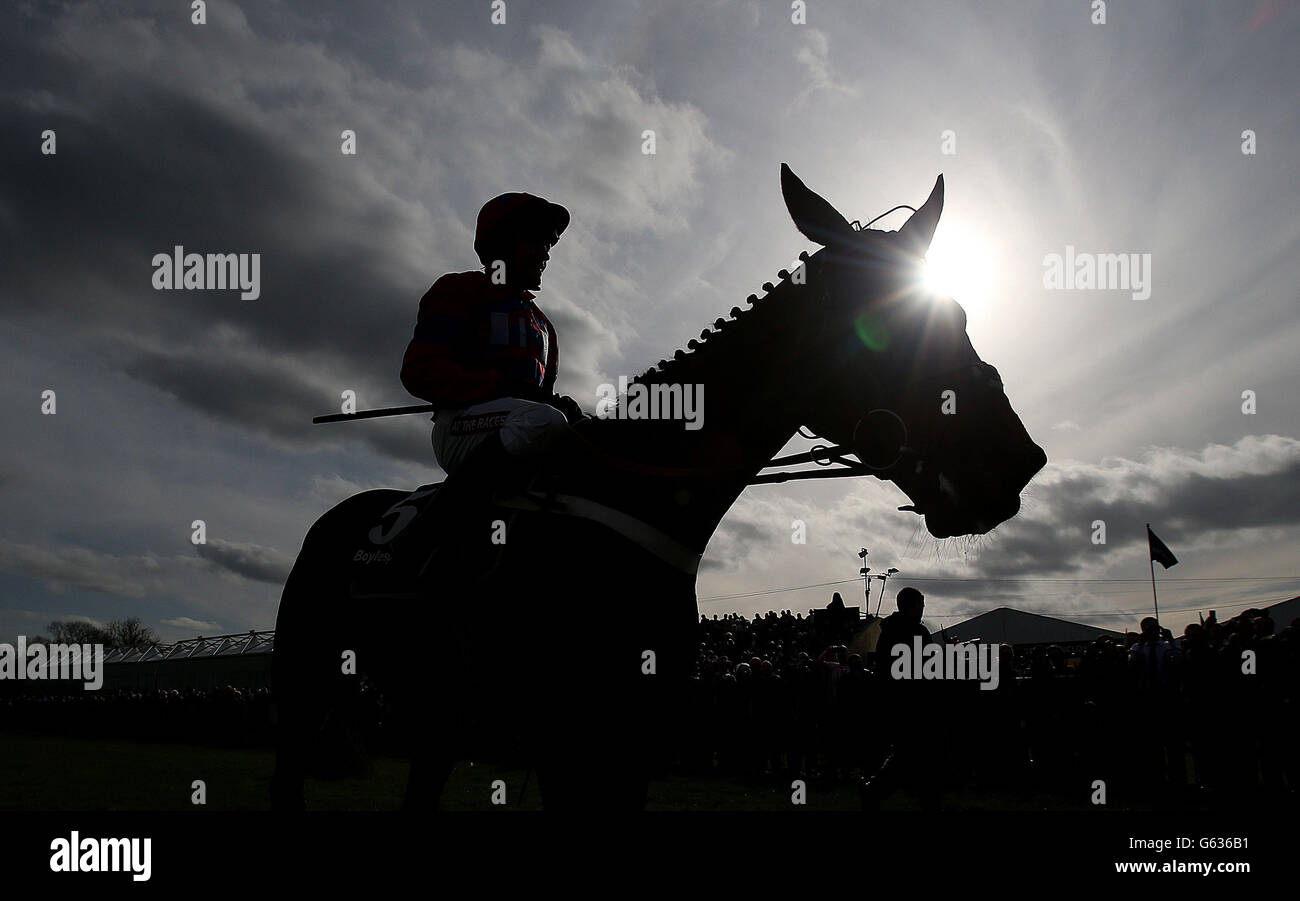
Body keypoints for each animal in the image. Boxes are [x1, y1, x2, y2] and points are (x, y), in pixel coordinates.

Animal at [271, 163, 1045, 806]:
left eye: (960, 311)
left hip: (432, 709)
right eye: (889, 319)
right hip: (307, 682)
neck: (636, 495)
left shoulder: (633, 742)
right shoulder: (565, 738)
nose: (1017, 461)